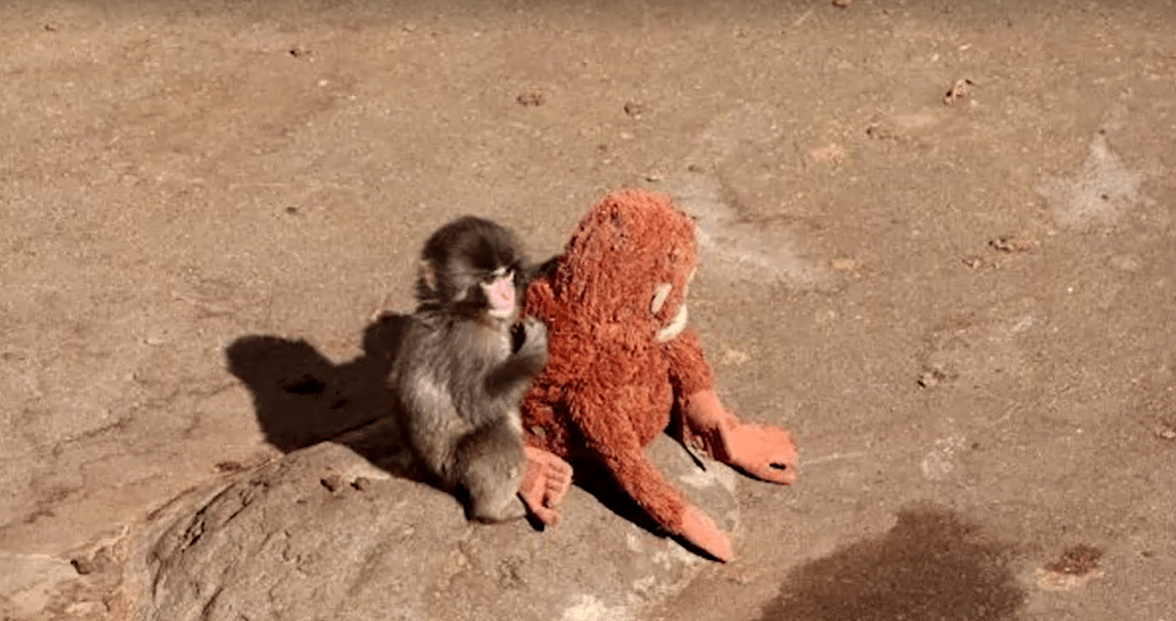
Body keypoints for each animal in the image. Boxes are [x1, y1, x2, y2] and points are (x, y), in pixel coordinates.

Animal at [388, 216, 548, 523]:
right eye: (489, 280)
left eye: (506, 274)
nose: (506, 292)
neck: (461, 312)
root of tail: (432, 479)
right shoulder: (471, 343)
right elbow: (480, 403)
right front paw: (533, 351)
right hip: (456, 471)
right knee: (498, 433)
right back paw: (493, 511)